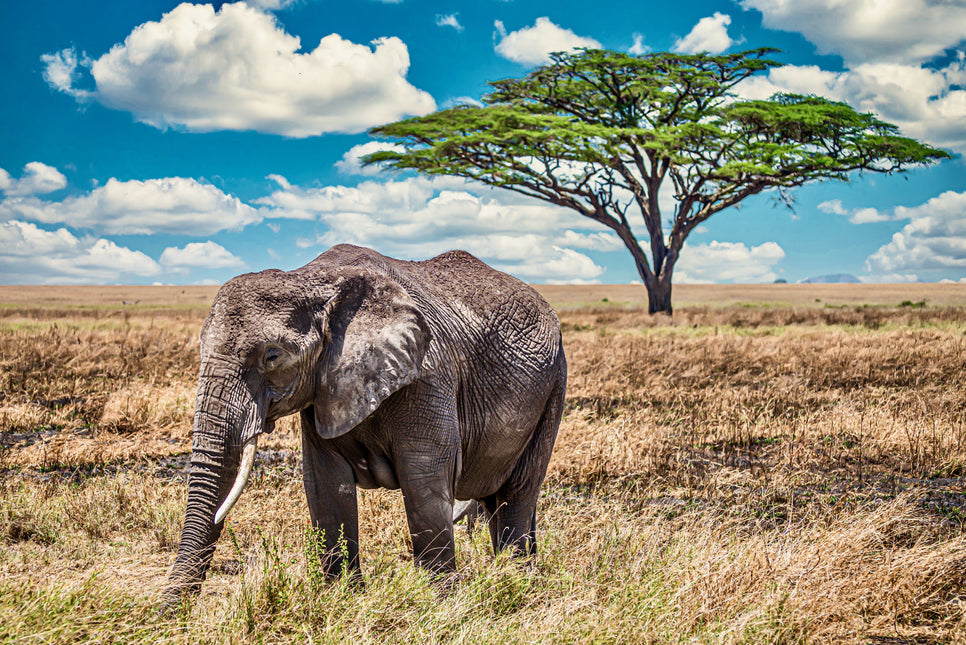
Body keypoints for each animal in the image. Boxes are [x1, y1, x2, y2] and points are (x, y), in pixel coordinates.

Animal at [162, 244, 566, 603]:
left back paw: (516, 582)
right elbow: (325, 484)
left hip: (554, 386)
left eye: (272, 355)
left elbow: (424, 479)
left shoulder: (428, 373)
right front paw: (343, 600)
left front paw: (444, 607)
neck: (313, 279)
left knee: (517, 492)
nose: (169, 614)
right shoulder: (322, 389)